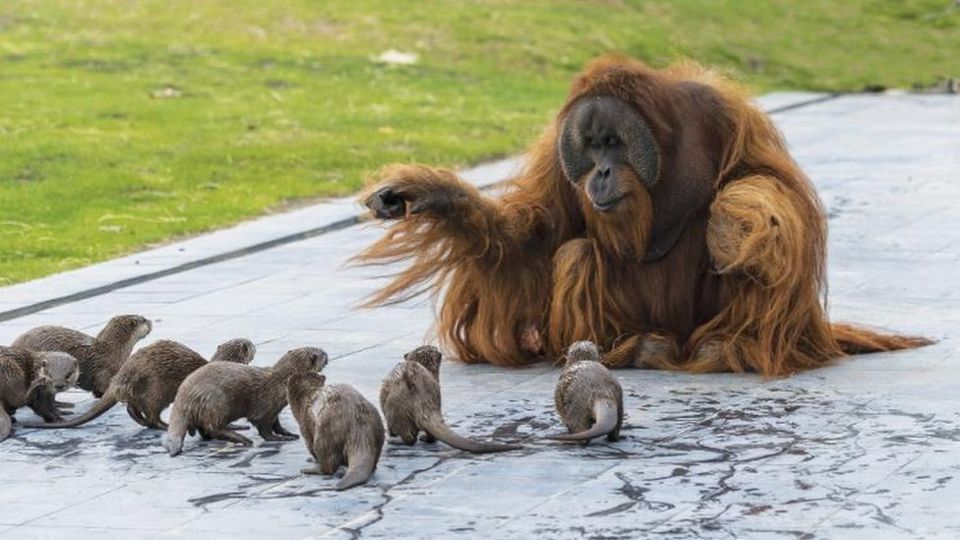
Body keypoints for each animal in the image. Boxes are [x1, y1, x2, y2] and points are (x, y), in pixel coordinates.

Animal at [20, 338, 256, 430]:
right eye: (250, 345)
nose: (253, 344)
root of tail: (122, 376)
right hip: (157, 389)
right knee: (151, 413)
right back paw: (163, 425)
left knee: (133, 408)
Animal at [165, 347, 327, 456]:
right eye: (322, 354)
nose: (327, 354)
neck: (280, 385)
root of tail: (184, 394)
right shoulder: (264, 408)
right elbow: (265, 429)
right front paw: (278, 438)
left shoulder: (274, 409)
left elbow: (277, 424)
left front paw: (289, 434)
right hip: (218, 403)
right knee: (213, 427)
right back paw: (242, 438)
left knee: (203, 428)